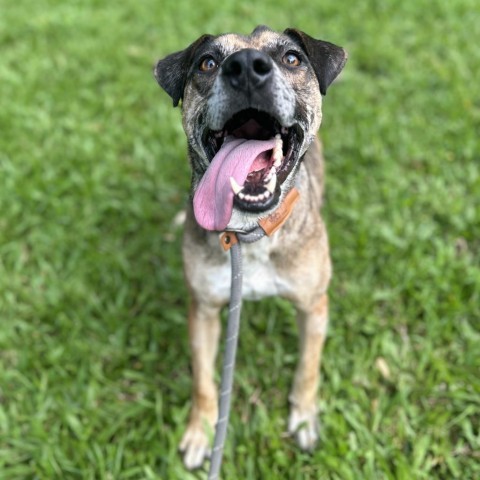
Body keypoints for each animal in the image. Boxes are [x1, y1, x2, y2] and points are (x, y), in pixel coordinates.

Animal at [156, 25, 346, 468]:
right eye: (207, 62)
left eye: (292, 58)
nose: (244, 67)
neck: (250, 232)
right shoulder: (204, 310)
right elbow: (204, 382)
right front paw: (200, 432)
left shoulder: (314, 305)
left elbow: (308, 367)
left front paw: (304, 417)